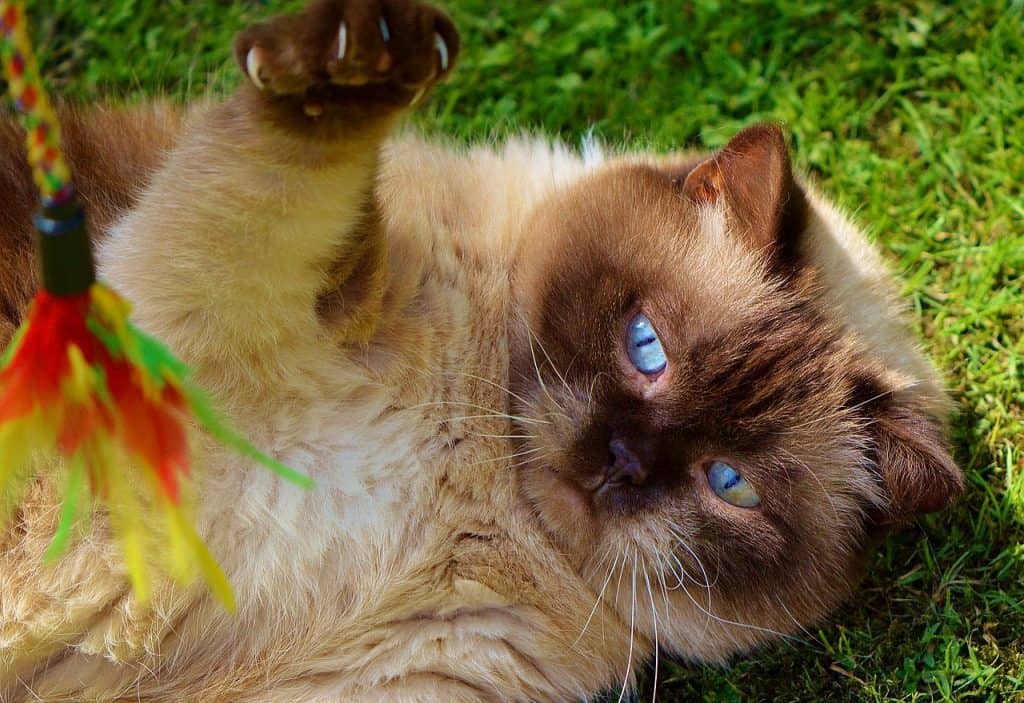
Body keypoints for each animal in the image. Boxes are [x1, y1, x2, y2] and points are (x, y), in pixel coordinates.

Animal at [0, 1, 958, 703]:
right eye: (647, 346)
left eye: (731, 483)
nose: (620, 462)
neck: (477, 490)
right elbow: (286, 175)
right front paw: (356, 60)